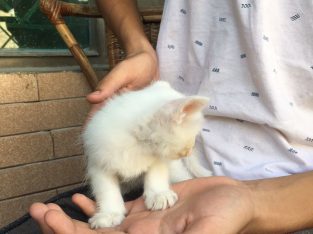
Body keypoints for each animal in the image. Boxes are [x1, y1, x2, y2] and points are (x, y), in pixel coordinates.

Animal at [81, 81, 211, 229]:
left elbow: (156, 174)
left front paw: (159, 195)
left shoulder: (158, 159)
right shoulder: (98, 163)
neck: (136, 145)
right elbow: (107, 191)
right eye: (191, 138)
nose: (189, 150)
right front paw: (110, 214)